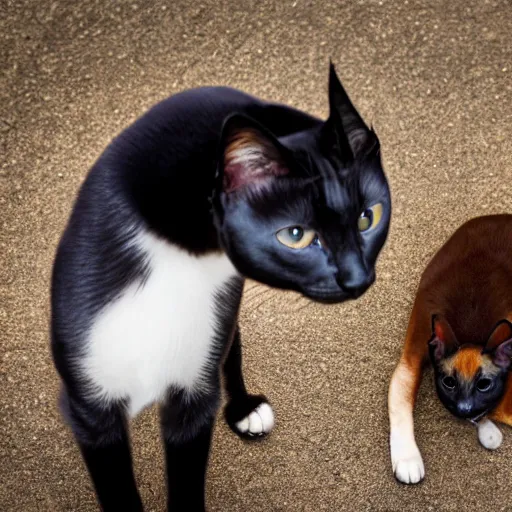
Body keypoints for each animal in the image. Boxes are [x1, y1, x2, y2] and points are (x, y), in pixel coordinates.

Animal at [51, 65, 392, 512]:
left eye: (369, 217)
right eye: (296, 236)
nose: (358, 279)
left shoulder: (195, 385)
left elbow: (187, 478)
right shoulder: (90, 404)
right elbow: (118, 488)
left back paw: (245, 409)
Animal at [388, 215, 512, 484]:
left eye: (484, 384)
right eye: (449, 383)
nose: (465, 408)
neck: (470, 334)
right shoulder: (411, 358)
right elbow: (400, 403)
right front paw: (407, 457)